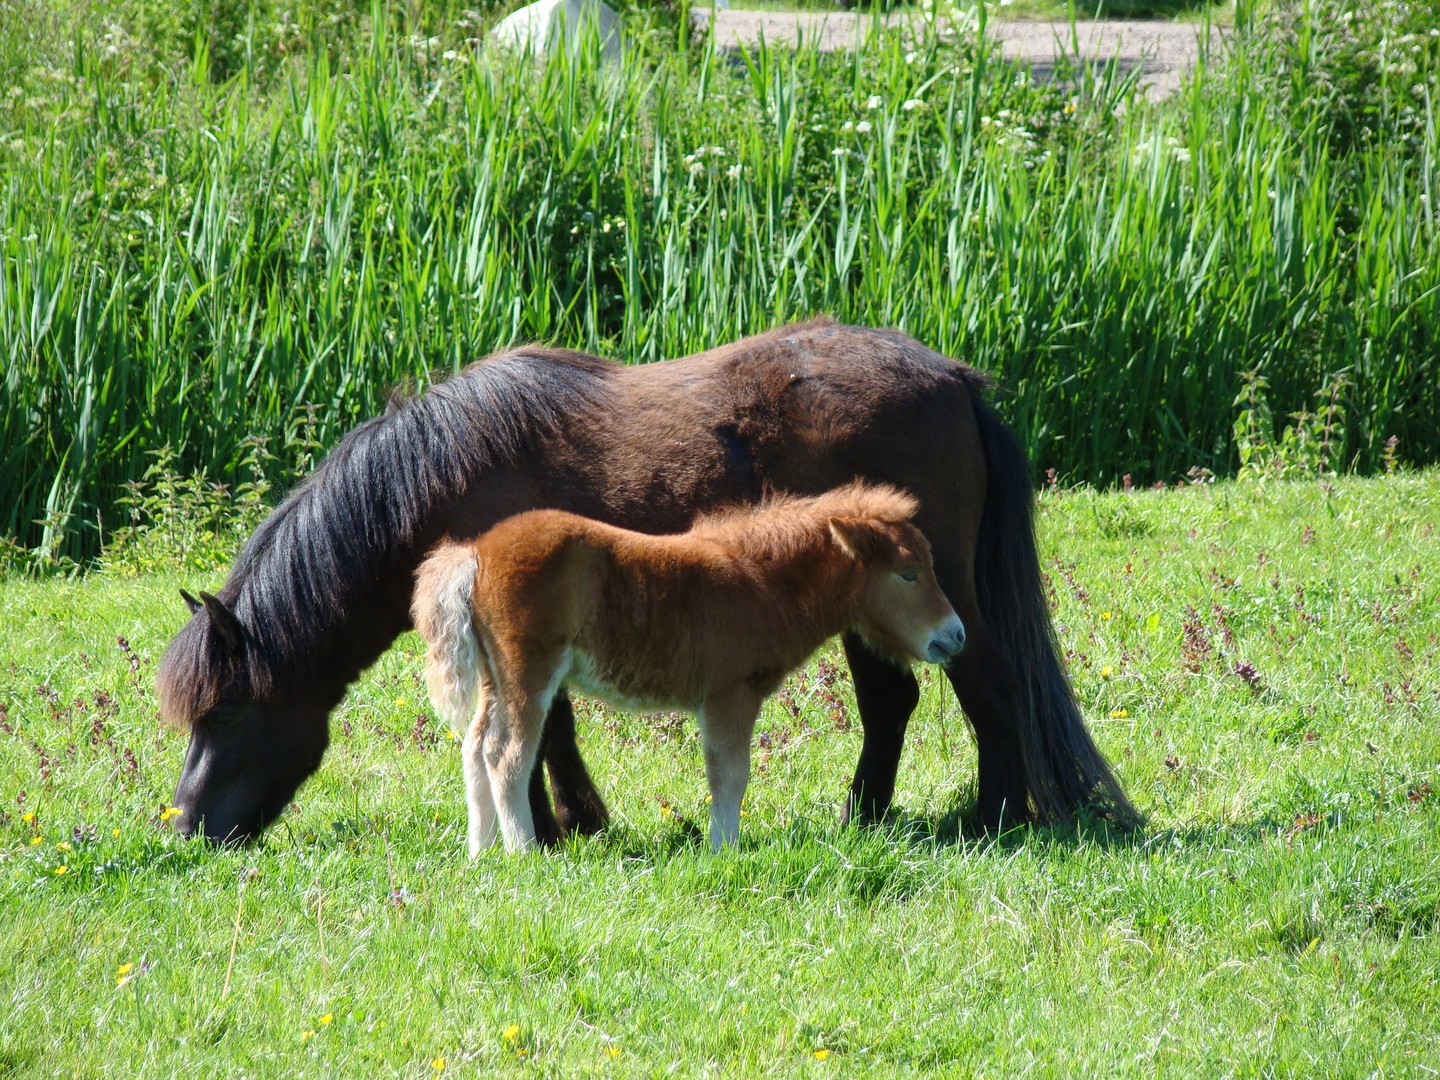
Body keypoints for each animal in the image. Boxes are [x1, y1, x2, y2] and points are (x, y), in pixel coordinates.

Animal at [411, 486, 961, 858]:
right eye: (908, 573)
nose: (955, 636)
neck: (761, 583)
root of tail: (476, 552)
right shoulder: (729, 695)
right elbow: (729, 774)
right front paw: (724, 851)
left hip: (495, 676)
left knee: (475, 745)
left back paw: (481, 853)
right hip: (529, 671)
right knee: (507, 754)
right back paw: (524, 854)